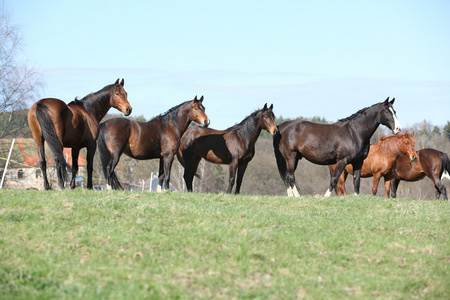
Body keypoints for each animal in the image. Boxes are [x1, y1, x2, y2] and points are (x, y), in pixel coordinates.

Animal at [272, 97, 402, 198]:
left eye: (395, 111)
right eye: (387, 112)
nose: (398, 129)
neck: (354, 132)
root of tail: (280, 127)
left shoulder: (358, 162)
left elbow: (356, 181)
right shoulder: (341, 161)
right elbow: (334, 179)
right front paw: (325, 196)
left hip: (294, 158)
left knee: (287, 177)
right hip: (290, 157)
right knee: (290, 177)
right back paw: (297, 196)